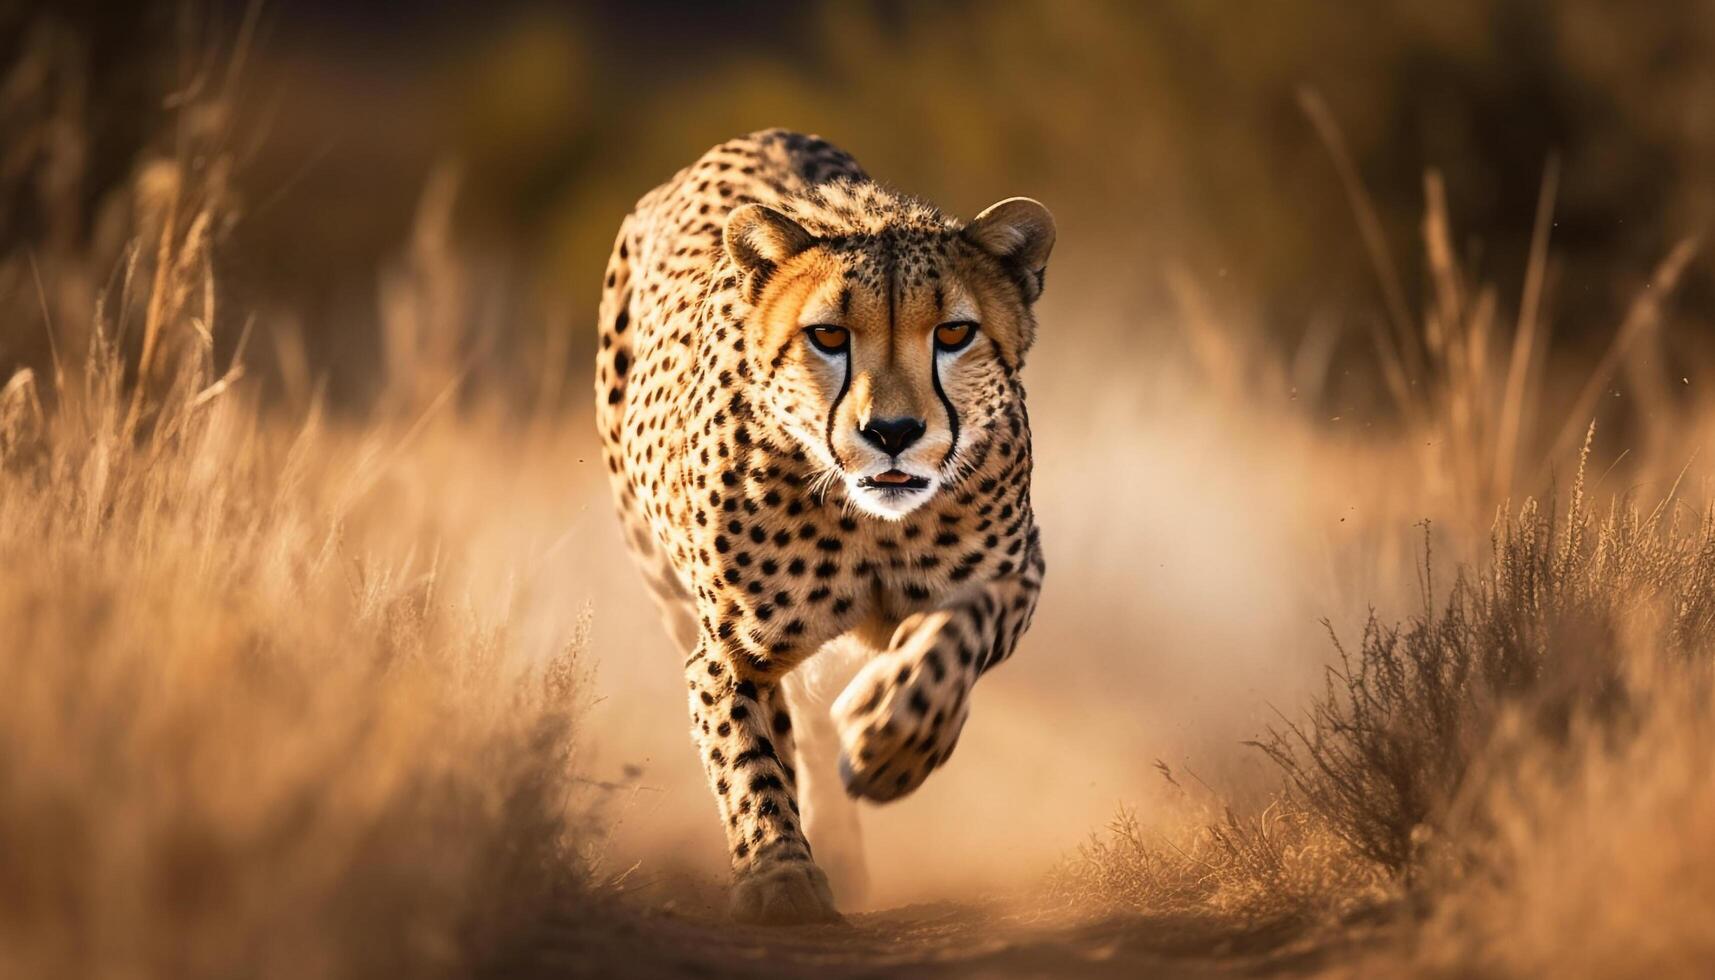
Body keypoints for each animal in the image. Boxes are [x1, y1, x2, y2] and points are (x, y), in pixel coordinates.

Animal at [603, 132, 1049, 926]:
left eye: (955, 333)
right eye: (828, 336)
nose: (893, 432)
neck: (873, 529)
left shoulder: (1015, 571)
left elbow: (957, 630)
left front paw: (892, 741)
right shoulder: (725, 655)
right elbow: (746, 758)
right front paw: (778, 874)